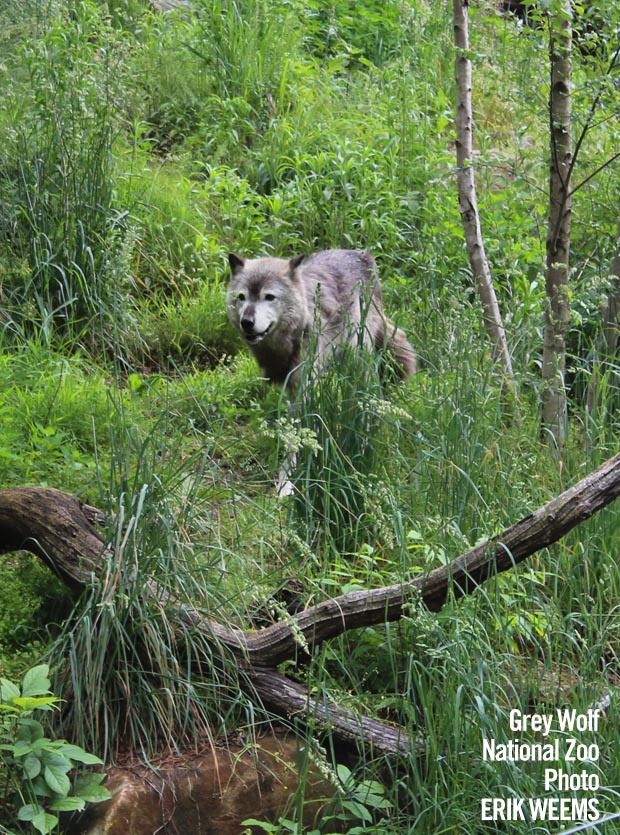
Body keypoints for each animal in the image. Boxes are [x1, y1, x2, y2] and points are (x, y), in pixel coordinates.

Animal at [226, 249, 416, 389]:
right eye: (242, 297)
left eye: (269, 297)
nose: (247, 322)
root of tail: (363, 254)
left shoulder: (304, 374)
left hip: (358, 352)